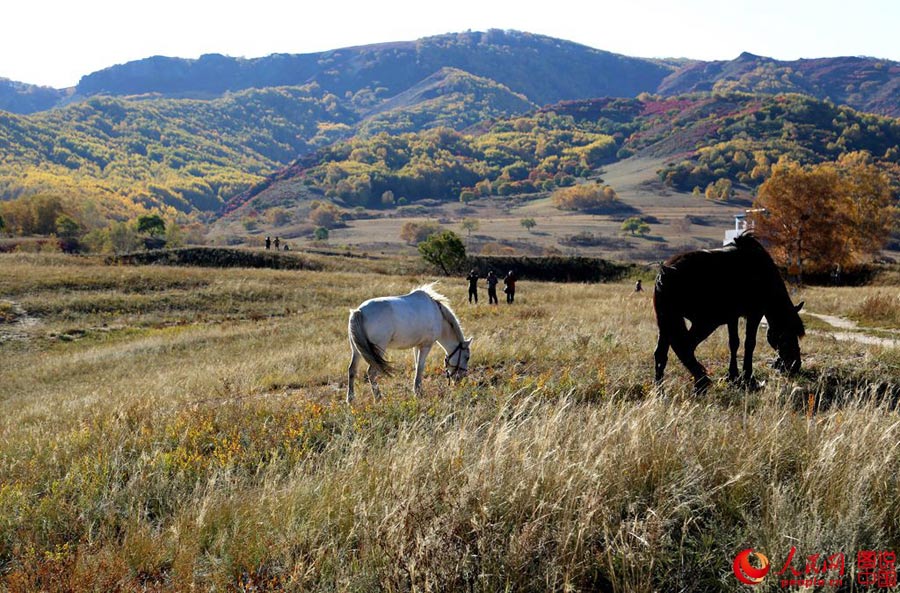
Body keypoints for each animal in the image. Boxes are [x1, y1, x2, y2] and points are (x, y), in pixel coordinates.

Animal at [652, 235, 804, 394]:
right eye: (788, 334)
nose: (795, 365)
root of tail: (666, 272)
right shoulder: (754, 314)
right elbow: (749, 343)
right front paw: (748, 378)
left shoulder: (732, 318)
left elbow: (734, 343)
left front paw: (733, 376)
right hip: (705, 322)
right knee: (684, 347)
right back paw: (701, 383)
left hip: (666, 322)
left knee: (662, 354)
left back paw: (660, 391)